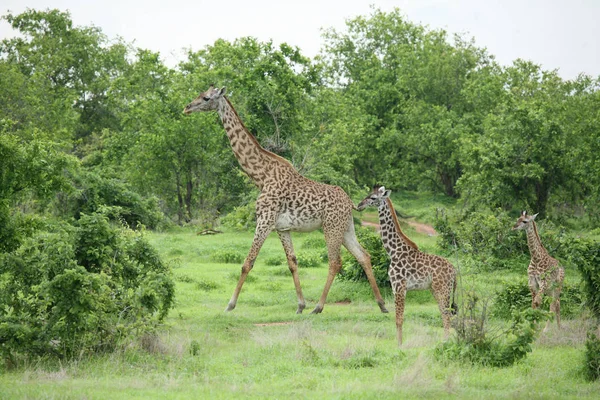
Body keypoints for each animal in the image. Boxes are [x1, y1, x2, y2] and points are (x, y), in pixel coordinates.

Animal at [184, 86, 390, 316]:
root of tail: (350, 203)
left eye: (206, 98)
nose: (187, 108)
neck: (261, 175)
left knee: (335, 262)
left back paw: (319, 307)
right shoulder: (282, 228)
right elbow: (292, 262)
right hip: (346, 228)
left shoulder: (264, 220)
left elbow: (248, 262)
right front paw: (300, 305)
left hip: (331, 227)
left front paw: (230, 305)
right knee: (364, 256)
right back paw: (382, 305)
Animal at [356, 186, 460, 346]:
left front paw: (399, 345)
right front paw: (399, 344)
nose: (359, 205)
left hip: (442, 289)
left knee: (446, 315)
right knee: (445, 314)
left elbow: (399, 319)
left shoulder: (399, 286)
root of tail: (454, 271)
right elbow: (399, 318)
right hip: (437, 290)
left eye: (373, 198)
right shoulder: (396, 288)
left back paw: (445, 343)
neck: (393, 251)